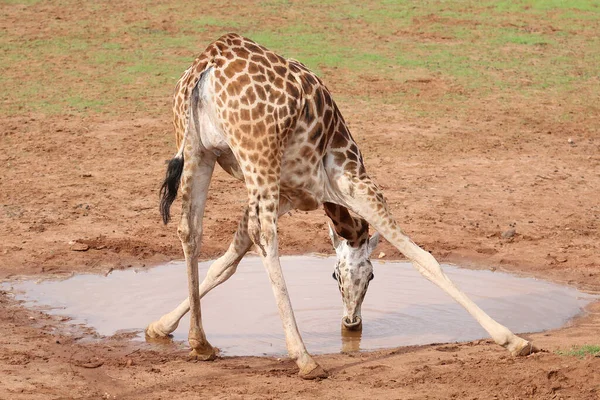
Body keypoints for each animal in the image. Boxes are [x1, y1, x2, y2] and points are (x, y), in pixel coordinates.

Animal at [144, 33, 536, 378]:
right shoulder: (352, 182)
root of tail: (208, 63)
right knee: (266, 236)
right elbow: (422, 257)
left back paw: (201, 343)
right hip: (258, 154)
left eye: (365, 277)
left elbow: (226, 261)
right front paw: (513, 340)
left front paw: (160, 326)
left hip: (198, 150)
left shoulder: (292, 194)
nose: (351, 324)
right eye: (338, 276)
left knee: (190, 229)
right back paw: (305, 358)